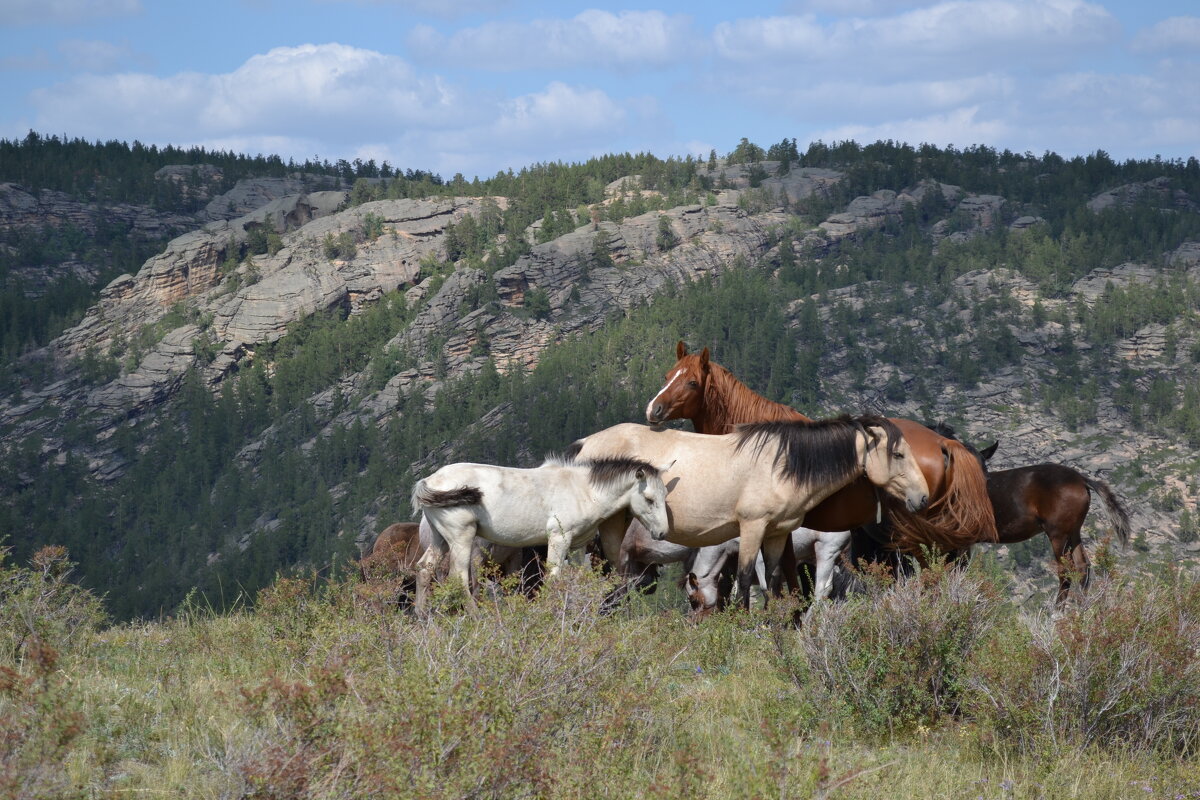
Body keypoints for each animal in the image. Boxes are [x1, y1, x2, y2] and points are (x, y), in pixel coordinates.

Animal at [412, 455, 676, 614]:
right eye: (649, 499)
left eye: (664, 495)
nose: (662, 532)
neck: (584, 490)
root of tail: (430, 480)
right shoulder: (559, 538)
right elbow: (555, 578)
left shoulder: (578, 545)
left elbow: (578, 579)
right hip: (461, 537)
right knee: (458, 578)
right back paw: (474, 616)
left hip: (440, 537)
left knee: (425, 568)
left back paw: (423, 617)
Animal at [564, 417, 926, 609]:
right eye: (897, 454)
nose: (922, 497)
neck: (782, 465)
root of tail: (583, 444)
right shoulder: (751, 528)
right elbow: (746, 579)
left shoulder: (778, 533)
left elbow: (774, 581)